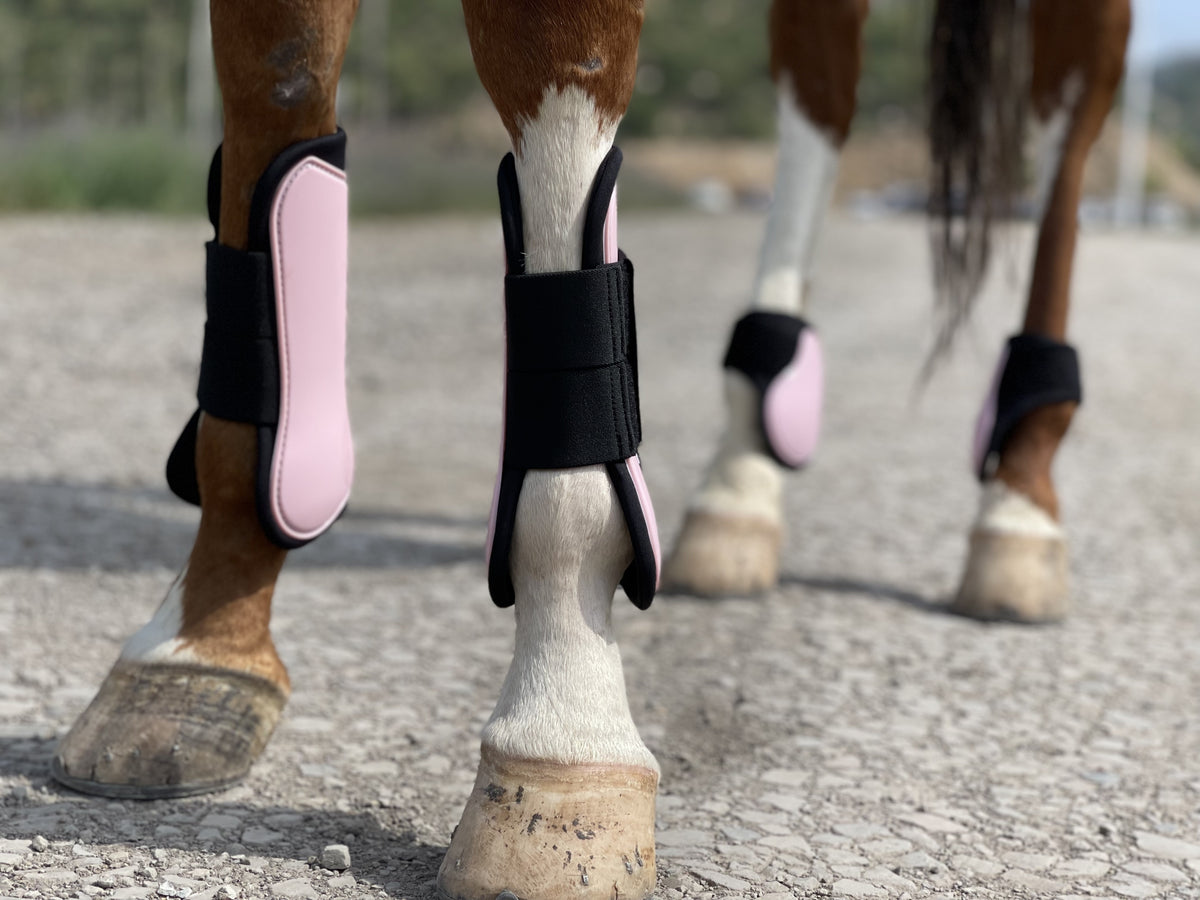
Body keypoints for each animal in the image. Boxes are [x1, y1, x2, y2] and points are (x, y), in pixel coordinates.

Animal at [46, 1, 1131, 899]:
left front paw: (563, 742)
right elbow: (274, 98)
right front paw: (198, 647)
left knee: (1071, 116)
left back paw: (1019, 504)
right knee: (821, 82)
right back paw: (740, 489)